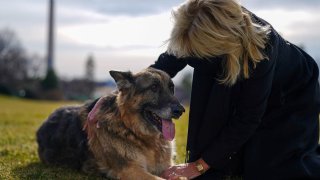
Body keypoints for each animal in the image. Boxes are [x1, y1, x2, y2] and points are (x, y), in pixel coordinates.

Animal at [36, 68, 185, 180]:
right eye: (154, 87)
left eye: (171, 88)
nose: (181, 111)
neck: (132, 130)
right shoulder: (131, 170)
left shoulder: (167, 167)